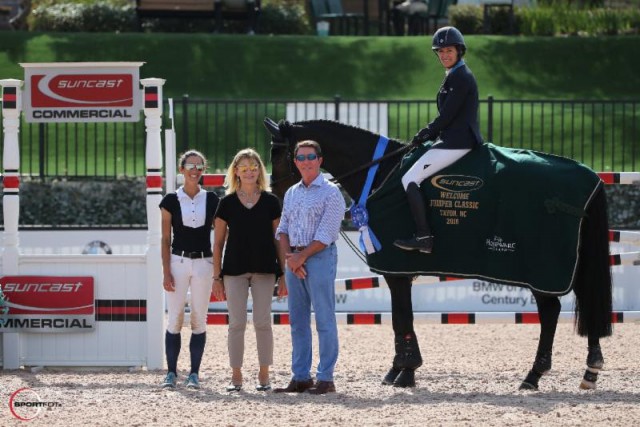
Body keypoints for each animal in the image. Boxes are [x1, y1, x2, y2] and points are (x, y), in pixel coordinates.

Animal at [262, 118, 612, 392]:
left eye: (277, 153)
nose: (278, 199)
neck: (380, 171)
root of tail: (590, 177)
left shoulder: (396, 269)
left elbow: (401, 317)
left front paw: (405, 371)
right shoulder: (399, 271)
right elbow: (401, 319)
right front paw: (399, 370)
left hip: (543, 268)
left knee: (551, 311)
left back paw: (534, 375)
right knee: (583, 299)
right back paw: (590, 368)